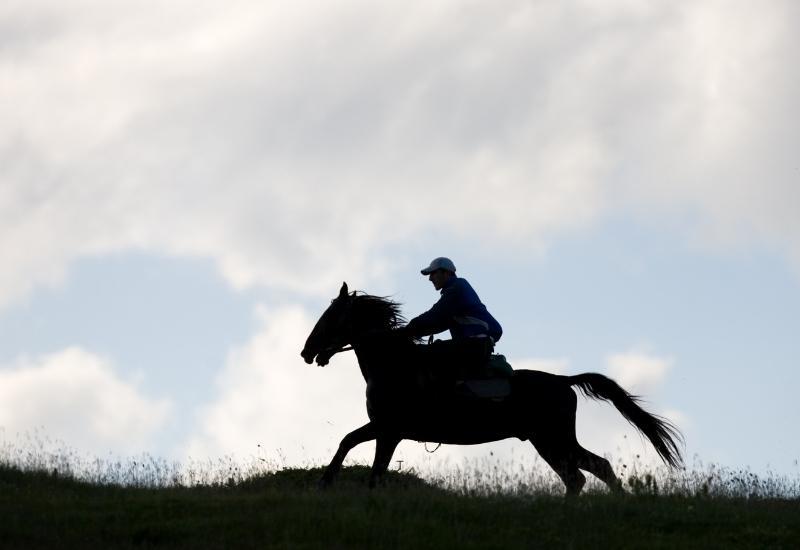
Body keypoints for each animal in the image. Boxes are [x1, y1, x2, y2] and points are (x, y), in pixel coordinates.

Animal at [300, 284, 680, 496]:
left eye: (331, 316)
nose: (306, 352)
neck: (395, 365)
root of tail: (564, 381)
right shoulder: (387, 431)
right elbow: (365, 459)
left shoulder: (388, 428)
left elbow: (352, 445)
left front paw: (325, 482)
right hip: (549, 441)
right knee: (585, 473)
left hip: (553, 438)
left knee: (585, 472)